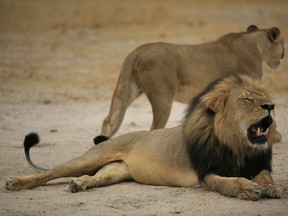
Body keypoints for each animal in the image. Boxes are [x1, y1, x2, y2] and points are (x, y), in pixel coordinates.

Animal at [5, 73, 286, 200]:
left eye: (263, 98)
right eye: (247, 100)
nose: (271, 105)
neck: (237, 146)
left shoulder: (256, 164)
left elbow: (266, 175)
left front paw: (273, 188)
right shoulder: (206, 173)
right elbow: (227, 183)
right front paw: (247, 188)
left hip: (116, 171)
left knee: (94, 177)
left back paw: (79, 184)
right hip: (88, 158)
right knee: (49, 173)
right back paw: (16, 182)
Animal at [96, 24, 284, 142]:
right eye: (282, 44)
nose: (283, 55)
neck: (256, 43)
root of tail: (136, 51)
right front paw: (274, 137)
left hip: (129, 89)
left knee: (109, 120)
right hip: (162, 97)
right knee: (154, 128)